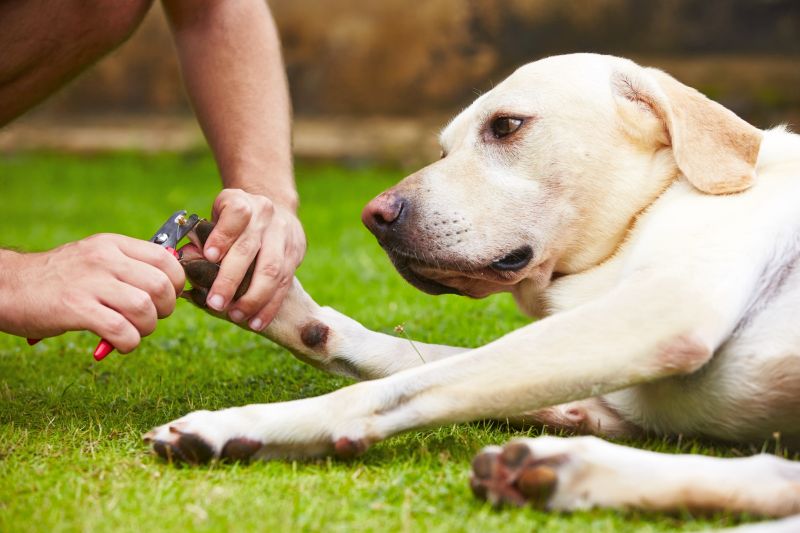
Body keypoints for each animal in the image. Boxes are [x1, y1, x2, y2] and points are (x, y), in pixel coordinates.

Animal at [145, 54, 800, 520]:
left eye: (506, 126)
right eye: (442, 149)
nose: (374, 216)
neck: (647, 207)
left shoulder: (663, 312)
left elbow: (387, 389)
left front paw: (239, 425)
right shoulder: (605, 400)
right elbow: (398, 357)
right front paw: (275, 297)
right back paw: (557, 471)